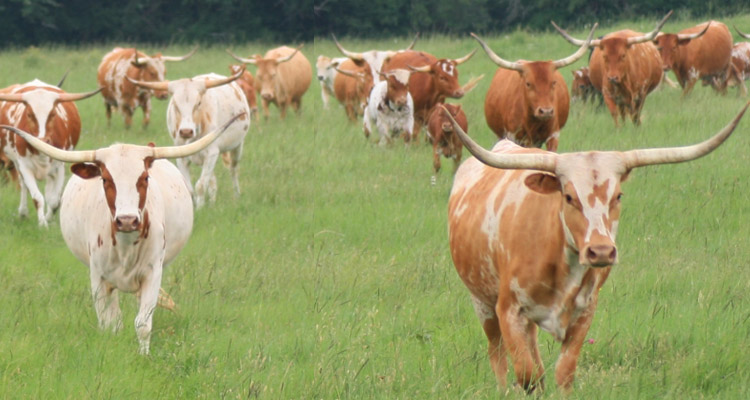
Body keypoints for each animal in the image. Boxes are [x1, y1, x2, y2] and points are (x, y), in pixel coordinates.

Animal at [0, 79, 100, 227]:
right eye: (29, 114)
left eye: (53, 114)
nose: (43, 140)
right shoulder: (24, 166)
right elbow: (37, 197)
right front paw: (42, 224)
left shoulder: (59, 167)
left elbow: (54, 201)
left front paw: (48, 219)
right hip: (17, 164)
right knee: (23, 186)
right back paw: (23, 212)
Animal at [444, 101, 748, 392]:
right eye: (568, 197)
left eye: (618, 196)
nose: (601, 251)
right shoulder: (508, 310)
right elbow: (527, 375)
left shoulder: (584, 313)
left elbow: (563, 373)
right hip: (482, 301)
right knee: (498, 356)